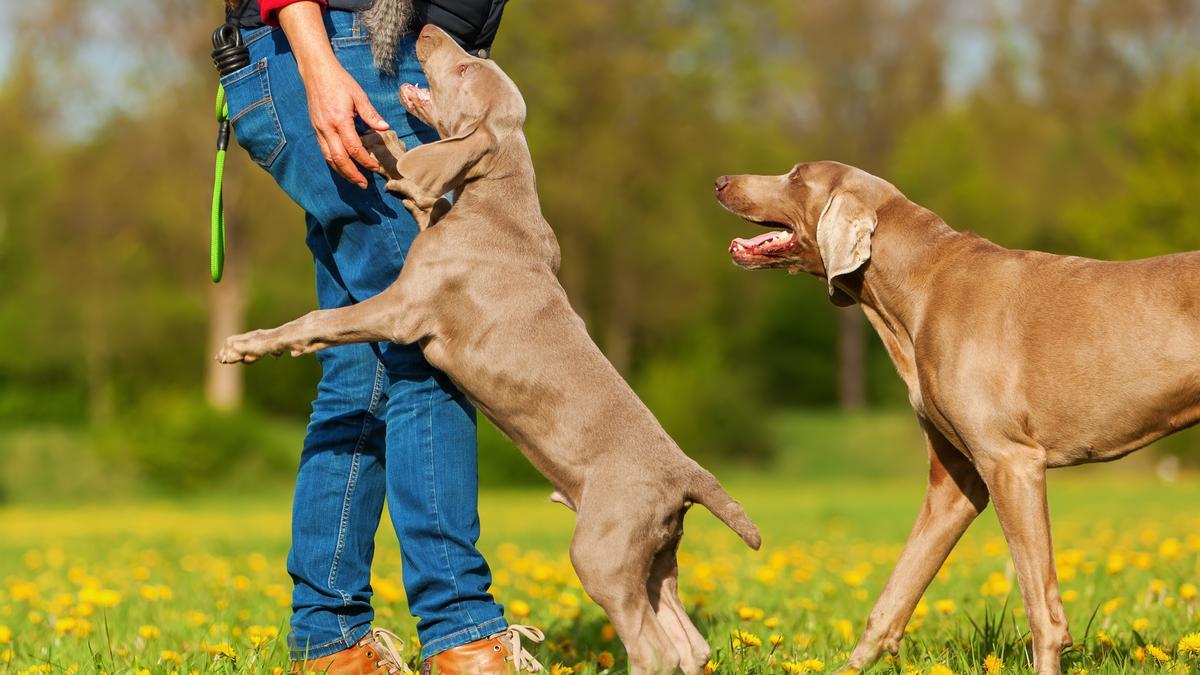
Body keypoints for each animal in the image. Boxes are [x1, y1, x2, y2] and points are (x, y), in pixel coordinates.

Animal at [715, 159, 1200, 667]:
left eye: (795, 176)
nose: (720, 181)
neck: (919, 284)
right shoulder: (954, 483)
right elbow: (890, 601)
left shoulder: (1011, 462)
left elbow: (1041, 610)